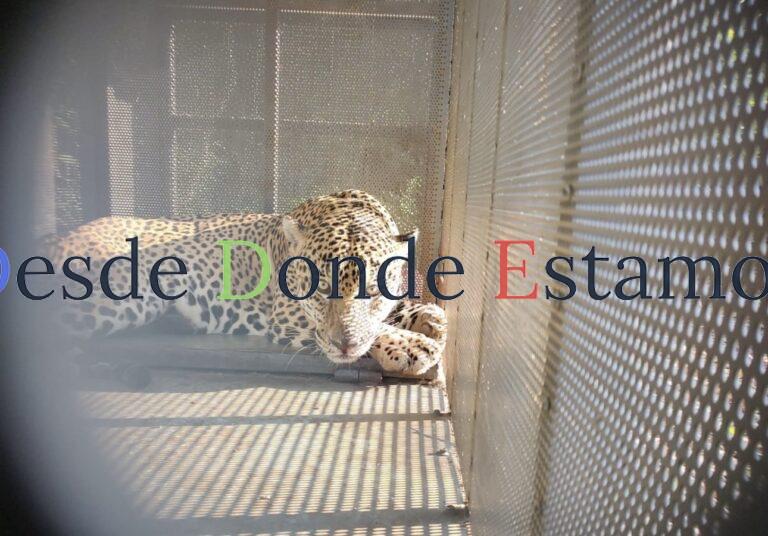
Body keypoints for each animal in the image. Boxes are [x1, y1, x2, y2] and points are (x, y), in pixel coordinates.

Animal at [48, 190, 447, 375]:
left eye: (373, 291)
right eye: (320, 289)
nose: (344, 346)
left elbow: (398, 310)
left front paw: (429, 318)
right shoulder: (286, 316)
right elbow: (367, 330)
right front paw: (412, 346)